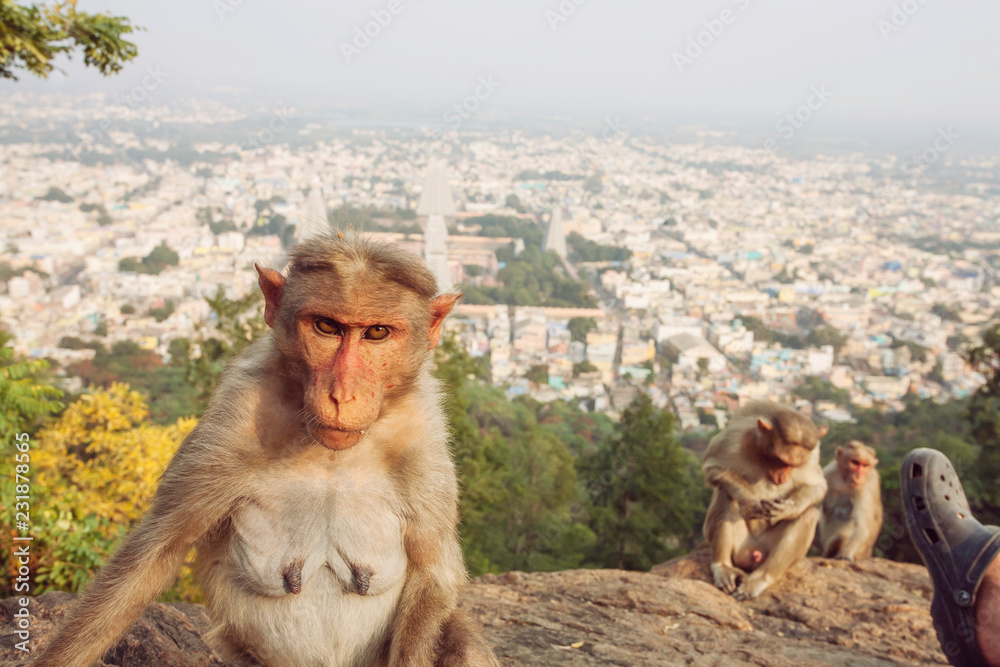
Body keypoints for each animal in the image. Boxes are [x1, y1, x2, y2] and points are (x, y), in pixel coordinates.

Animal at [34, 232, 501, 667]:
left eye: (377, 333)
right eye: (327, 327)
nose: (342, 395)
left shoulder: (424, 437)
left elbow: (434, 575)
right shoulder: (233, 420)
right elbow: (153, 555)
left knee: (460, 635)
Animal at [702, 401, 828, 600]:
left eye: (794, 464)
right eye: (781, 460)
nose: (783, 476)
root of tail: (752, 551)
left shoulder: (812, 454)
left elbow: (817, 486)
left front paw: (788, 509)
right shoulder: (733, 439)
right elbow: (714, 467)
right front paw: (748, 499)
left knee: (808, 514)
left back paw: (761, 578)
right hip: (739, 546)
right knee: (727, 495)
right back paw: (722, 566)